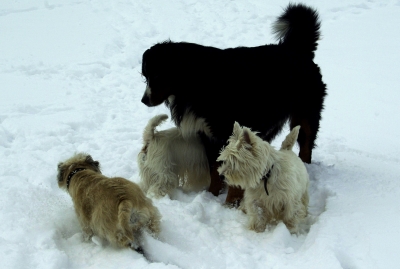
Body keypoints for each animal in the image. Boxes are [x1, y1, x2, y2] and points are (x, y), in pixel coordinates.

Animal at [139, 3, 326, 203]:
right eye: (145, 77)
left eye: (157, 76)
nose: (144, 100)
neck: (198, 81)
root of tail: (295, 48)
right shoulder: (207, 134)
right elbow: (214, 169)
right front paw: (212, 195)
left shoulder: (229, 130)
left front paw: (232, 201)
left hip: (305, 114)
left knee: (306, 146)